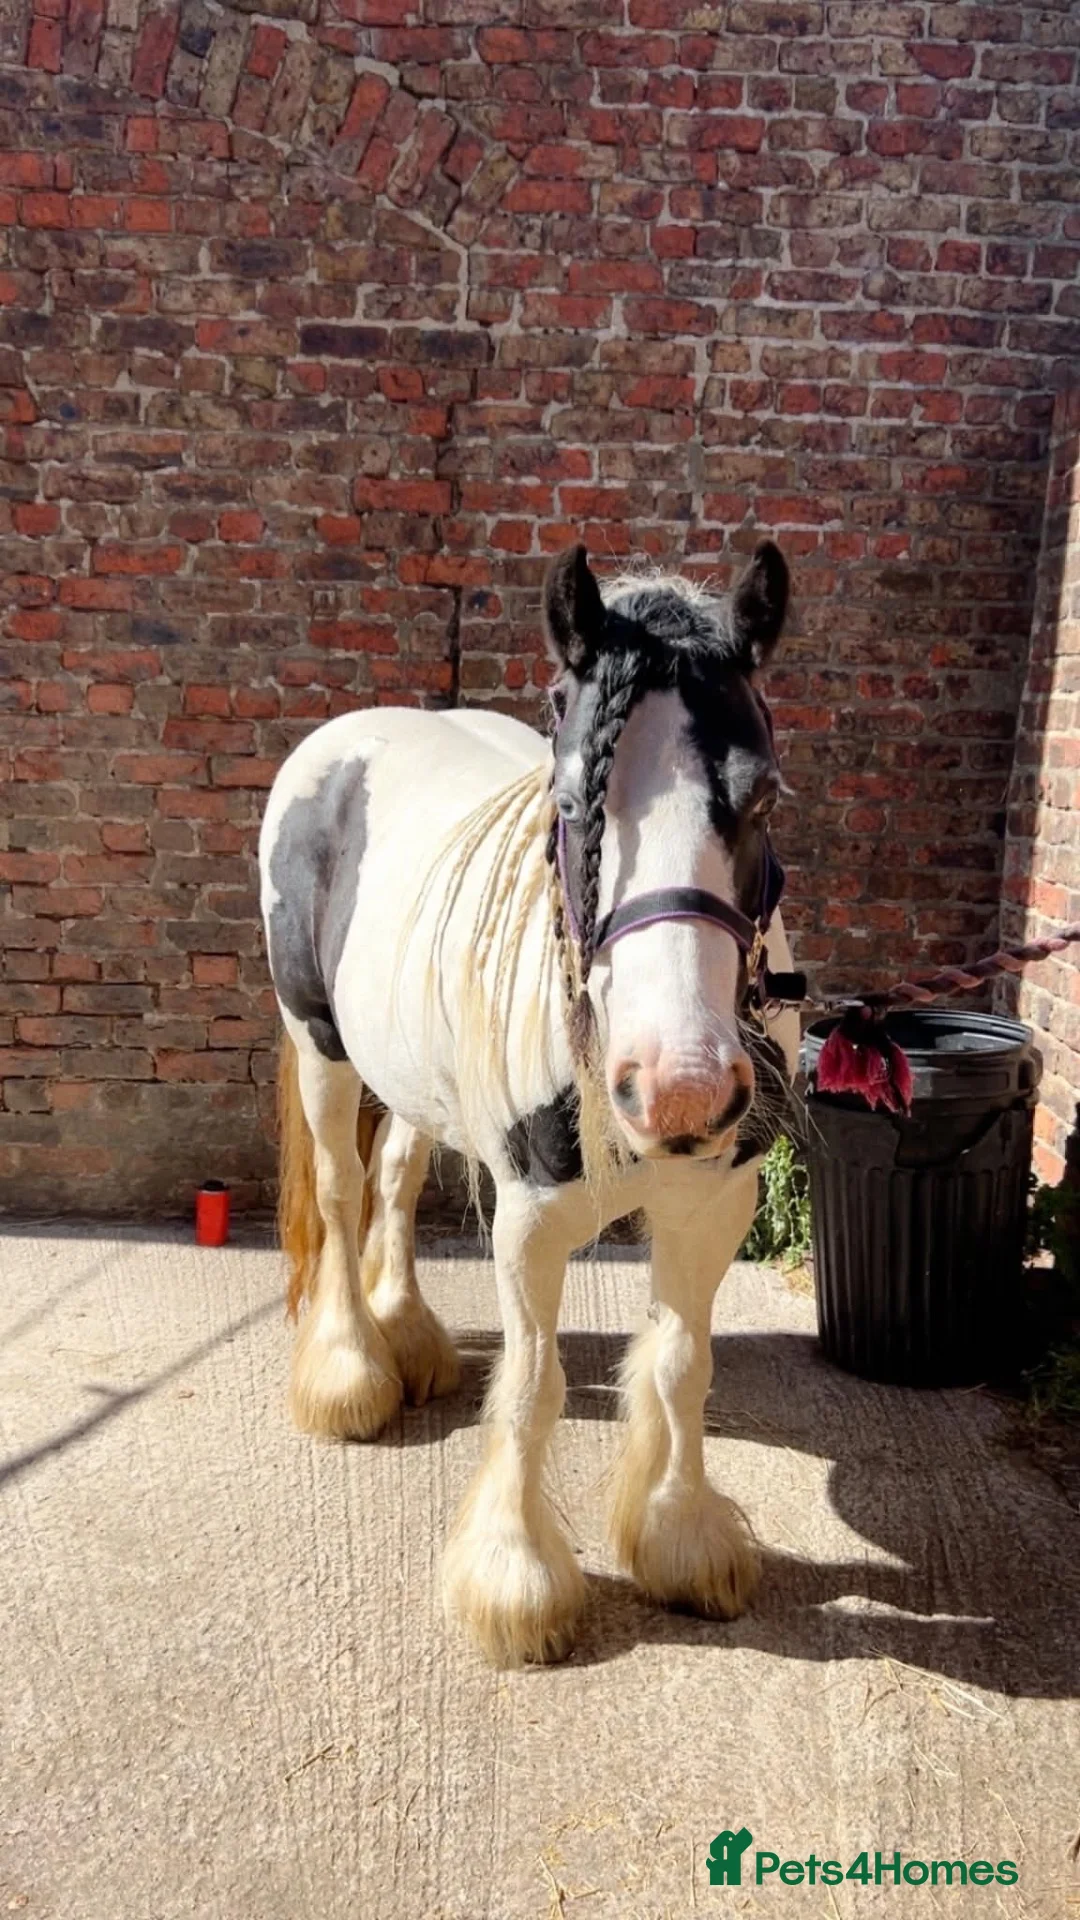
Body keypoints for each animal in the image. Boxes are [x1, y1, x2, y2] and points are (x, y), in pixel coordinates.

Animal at [258, 539, 800, 1668]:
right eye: (572, 803)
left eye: (765, 799)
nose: (679, 1089)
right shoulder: (533, 1218)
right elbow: (535, 1385)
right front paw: (516, 1583)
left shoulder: (713, 1202)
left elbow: (682, 1366)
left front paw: (682, 1540)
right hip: (321, 1043)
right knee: (339, 1193)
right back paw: (351, 1373)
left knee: (394, 1180)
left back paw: (409, 1338)